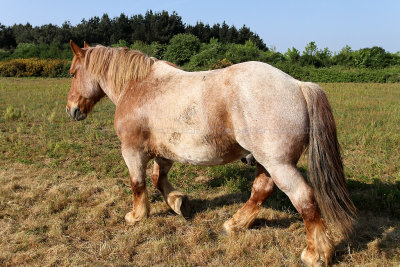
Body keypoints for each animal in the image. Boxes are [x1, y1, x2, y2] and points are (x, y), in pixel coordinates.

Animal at [67, 40, 358, 267]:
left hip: (279, 164)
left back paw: (316, 254)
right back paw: (235, 225)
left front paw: (137, 216)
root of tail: (298, 85)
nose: (71, 110)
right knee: (261, 190)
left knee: (304, 198)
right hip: (266, 162)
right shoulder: (164, 152)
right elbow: (158, 179)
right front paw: (178, 203)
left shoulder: (132, 150)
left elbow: (138, 184)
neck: (139, 86)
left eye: (72, 73)